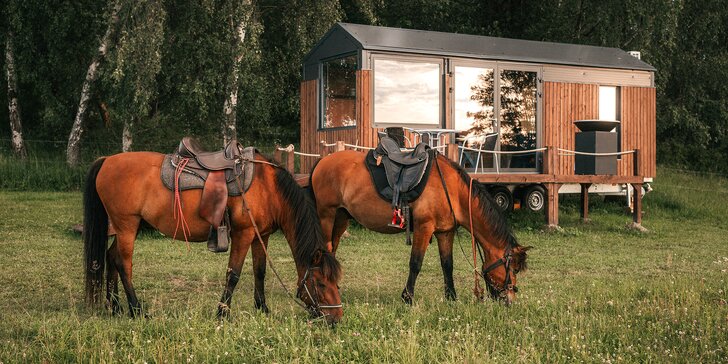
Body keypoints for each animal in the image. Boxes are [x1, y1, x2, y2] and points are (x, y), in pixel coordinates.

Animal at [82, 151, 344, 324]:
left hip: (126, 227)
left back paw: (114, 307)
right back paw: (137, 310)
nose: (336, 317)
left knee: (111, 257)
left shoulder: (261, 235)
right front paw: (223, 313)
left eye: (337, 283)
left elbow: (259, 272)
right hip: (127, 225)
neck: (268, 187)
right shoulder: (244, 233)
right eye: (321, 283)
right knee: (123, 264)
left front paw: (262, 308)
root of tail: (107, 160)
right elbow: (234, 274)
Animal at [308, 149, 528, 306]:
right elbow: (415, 263)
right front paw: (408, 297)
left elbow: (447, 264)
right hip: (326, 215)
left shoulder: (445, 232)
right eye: (514, 269)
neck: (452, 190)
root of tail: (322, 161)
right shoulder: (424, 228)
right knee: (324, 250)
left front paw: (451, 297)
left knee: (332, 250)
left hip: (340, 218)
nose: (510, 300)